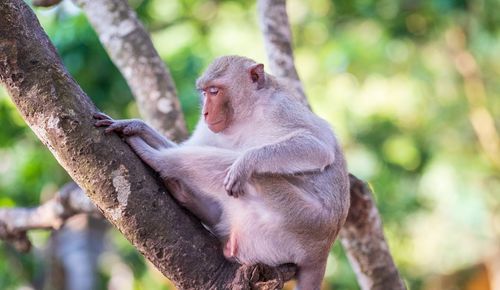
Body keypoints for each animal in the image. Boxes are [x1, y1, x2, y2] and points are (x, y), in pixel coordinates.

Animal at [94, 55, 352, 288]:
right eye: (204, 93)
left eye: (215, 91)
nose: (206, 113)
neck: (249, 113)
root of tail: (321, 251)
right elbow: (188, 145)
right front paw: (136, 125)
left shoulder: (281, 109)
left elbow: (317, 147)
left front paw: (247, 162)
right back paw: (184, 195)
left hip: (299, 220)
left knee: (239, 170)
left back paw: (156, 159)